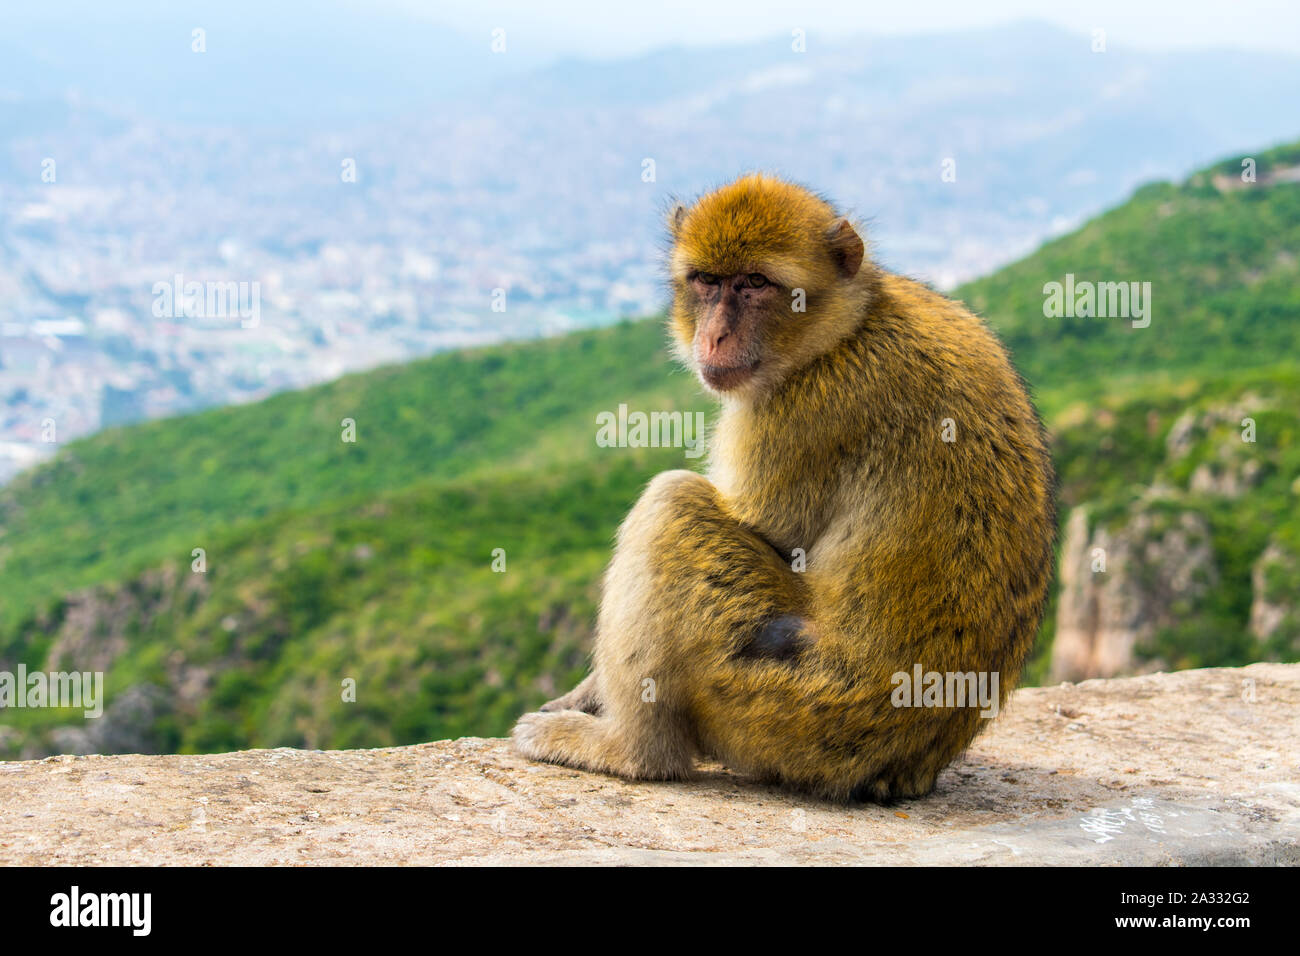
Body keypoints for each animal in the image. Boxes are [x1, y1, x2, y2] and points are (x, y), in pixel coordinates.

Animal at [512, 173, 1056, 802]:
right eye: (707, 281)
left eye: (755, 284)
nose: (715, 336)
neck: (845, 329)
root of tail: (901, 765)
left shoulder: (803, 407)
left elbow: (766, 529)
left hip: (780, 702)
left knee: (673, 505)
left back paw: (633, 751)